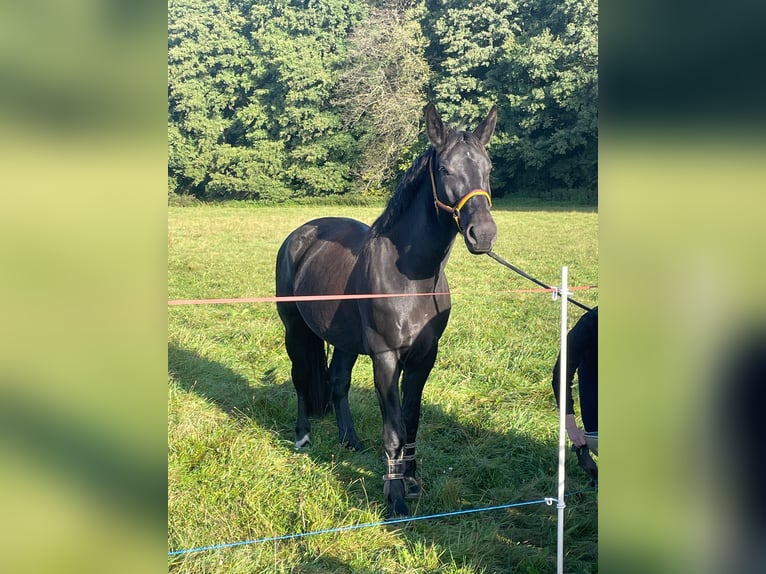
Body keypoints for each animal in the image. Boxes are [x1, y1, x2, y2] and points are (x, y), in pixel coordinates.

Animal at [276, 102, 498, 516]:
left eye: (488, 168)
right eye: (445, 169)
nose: (484, 235)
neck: (411, 277)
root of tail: (299, 236)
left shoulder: (424, 357)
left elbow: (411, 420)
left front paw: (411, 480)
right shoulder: (386, 358)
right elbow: (393, 429)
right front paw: (394, 498)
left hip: (343, 340)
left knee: (338, 382)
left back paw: (349, 440)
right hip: (295, 329)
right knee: (300, 378)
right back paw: (303, 436)